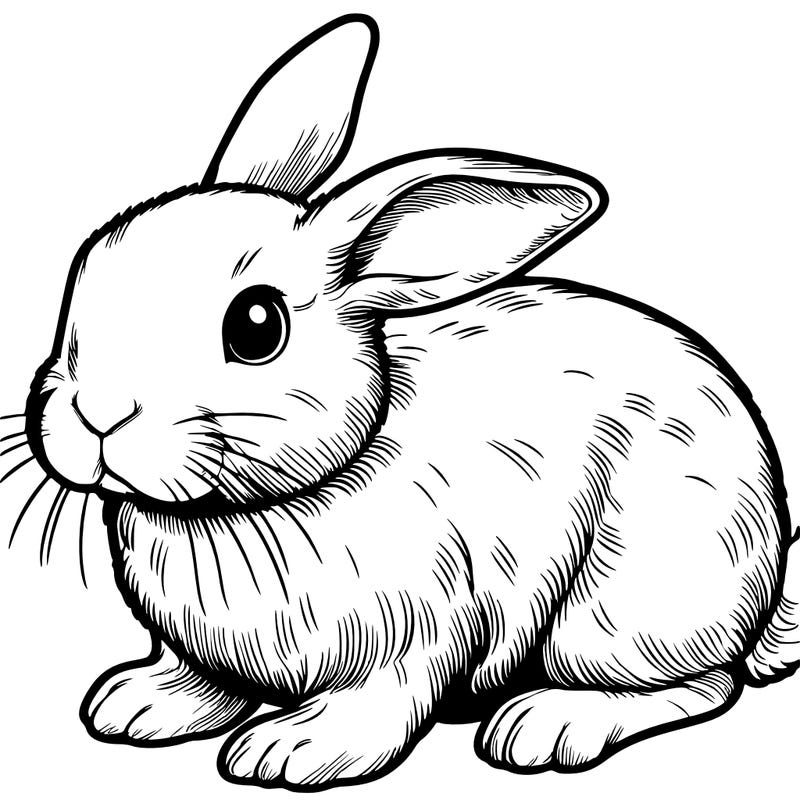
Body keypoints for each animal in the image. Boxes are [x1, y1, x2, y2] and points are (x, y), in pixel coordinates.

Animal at [15, 11, 800, 792]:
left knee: (703, 684)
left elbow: (379, 703)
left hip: (621, 613)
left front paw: (291, 750)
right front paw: (138, 704)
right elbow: (204, 681)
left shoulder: (418, 632)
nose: (97, 413)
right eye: (84, 273)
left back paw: (545, 725)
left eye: (256, 326)